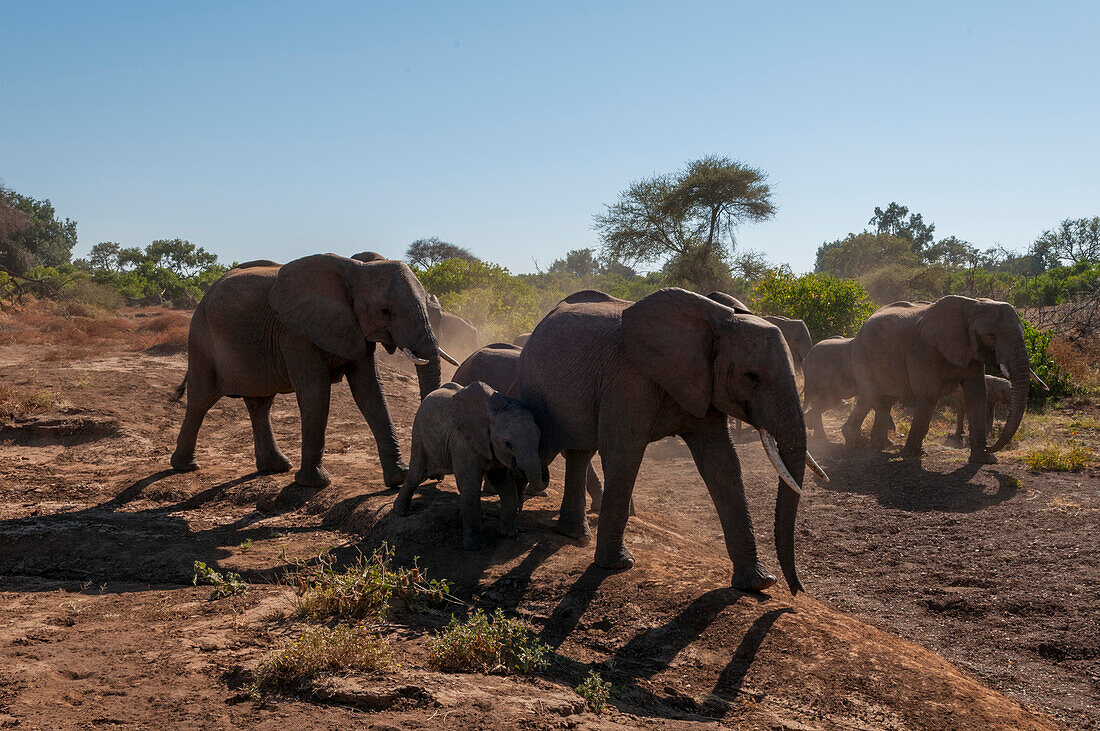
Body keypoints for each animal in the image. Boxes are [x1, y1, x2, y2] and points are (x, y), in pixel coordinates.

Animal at [171, 253, 455, 488]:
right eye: (386, 311)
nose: (434, 476)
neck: (354, 269)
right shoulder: (295, 332)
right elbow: (316, 393)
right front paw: (315, 483)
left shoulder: (354, 328)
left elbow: (370, 392)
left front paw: (398, 478)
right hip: (201, 338)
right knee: (201, 400)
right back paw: (186, 466)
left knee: (261, 403)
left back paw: (275, 467)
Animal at [396, 382, 550, 547]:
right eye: (508, 444)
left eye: (539, 438)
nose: (544, 469)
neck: (493, 412)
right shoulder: (462, 441)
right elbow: (470, 484)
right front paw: (476, 546)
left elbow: (503, 482)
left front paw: (507, 533)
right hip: (420, 432)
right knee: (417, 474)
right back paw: (401, 513)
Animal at [514, 285, 827, 593]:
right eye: (751, 377)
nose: (797, 589)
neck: (714, 321)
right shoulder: (629, 379)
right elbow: (623, 454)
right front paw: (617, 566)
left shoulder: (703, 384)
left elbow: (722, 463)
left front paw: (758, 583)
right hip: (536, 386)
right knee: (552, 448)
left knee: (579, 453)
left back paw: (575, 536)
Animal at [840, 294, 1047, 461]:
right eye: (991, 335)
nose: (990, 447)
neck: (972, 305)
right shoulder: (925, 349)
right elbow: (928, 395)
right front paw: (911, 455)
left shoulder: (970, 349)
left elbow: (978, 394)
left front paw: (984, 460)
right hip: (861, 352)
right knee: (870, 396)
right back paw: (856, 442)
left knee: (886, 400)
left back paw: (882, 446)